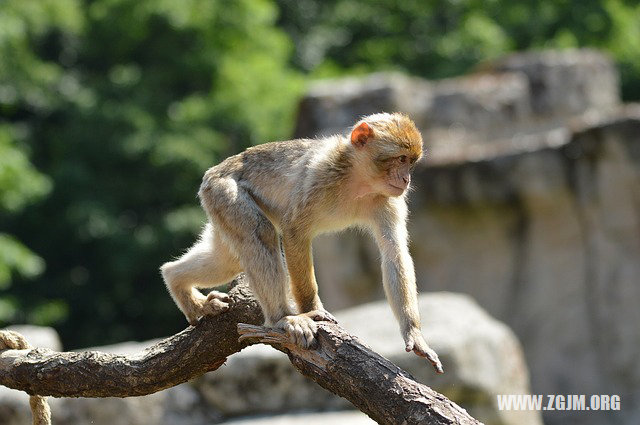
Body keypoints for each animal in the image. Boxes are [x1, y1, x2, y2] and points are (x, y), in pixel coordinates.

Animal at [160, 112, 442, 372]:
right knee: (260, 234)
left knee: (226, 260)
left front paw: (414, 334)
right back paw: (282, 318)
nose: (406, 179)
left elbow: (394, 253)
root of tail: (214, 171)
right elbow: (294, 231)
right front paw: (311, 310)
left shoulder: (388, 200)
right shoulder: (319, 176)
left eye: (410, 162)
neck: (358, 180)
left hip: (218, 207)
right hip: (223, 192)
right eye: (400, 159)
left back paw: (177, 281)